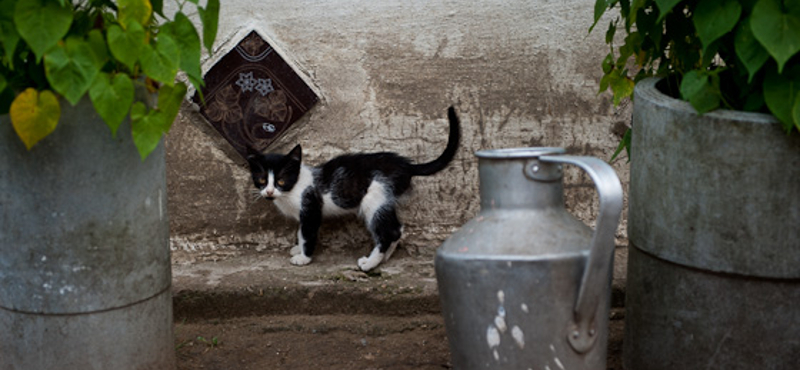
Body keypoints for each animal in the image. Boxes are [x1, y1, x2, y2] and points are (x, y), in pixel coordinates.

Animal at [248, 106, 462, 272]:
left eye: (281, 180)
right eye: (261, 180)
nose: (269, 192)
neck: (294, 189)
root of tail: (405, 165)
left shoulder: (310, 208)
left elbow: (307, 233)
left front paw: (304, 257)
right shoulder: (303, 213)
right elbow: (301, 232)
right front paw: (298, 248)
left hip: (374, 196)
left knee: (389, 232)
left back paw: (370, 263)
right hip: (385, 198)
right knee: (398, 228)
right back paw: (385, 257)